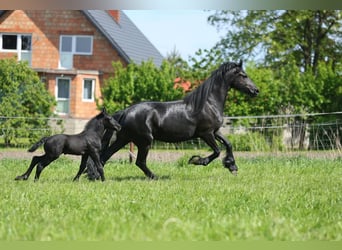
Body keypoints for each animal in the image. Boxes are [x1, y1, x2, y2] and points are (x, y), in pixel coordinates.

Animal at [87, 61, 258, 181]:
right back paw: (154, 177)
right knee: (139, 162)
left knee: (105, 156)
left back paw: (96, 177)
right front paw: (196, 160)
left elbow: (228, 144)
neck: (208, 103)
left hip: (124, 139)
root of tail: (125, 112)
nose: (255, 90)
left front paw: (232, 166)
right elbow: (217, 151)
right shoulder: (206, 133)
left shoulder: (216, 131)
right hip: (144, 141)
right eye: (243, 75)